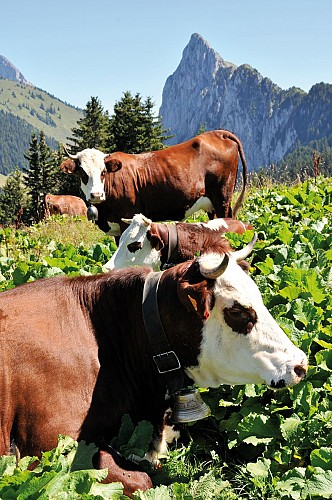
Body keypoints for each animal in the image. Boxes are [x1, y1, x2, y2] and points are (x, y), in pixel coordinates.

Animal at [60, 131, 249, 236]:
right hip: (211, 205)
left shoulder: (127, 218)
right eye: (82, 172)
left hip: (222, 198)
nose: (96, 195)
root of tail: (218, 133)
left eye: (103, 171)